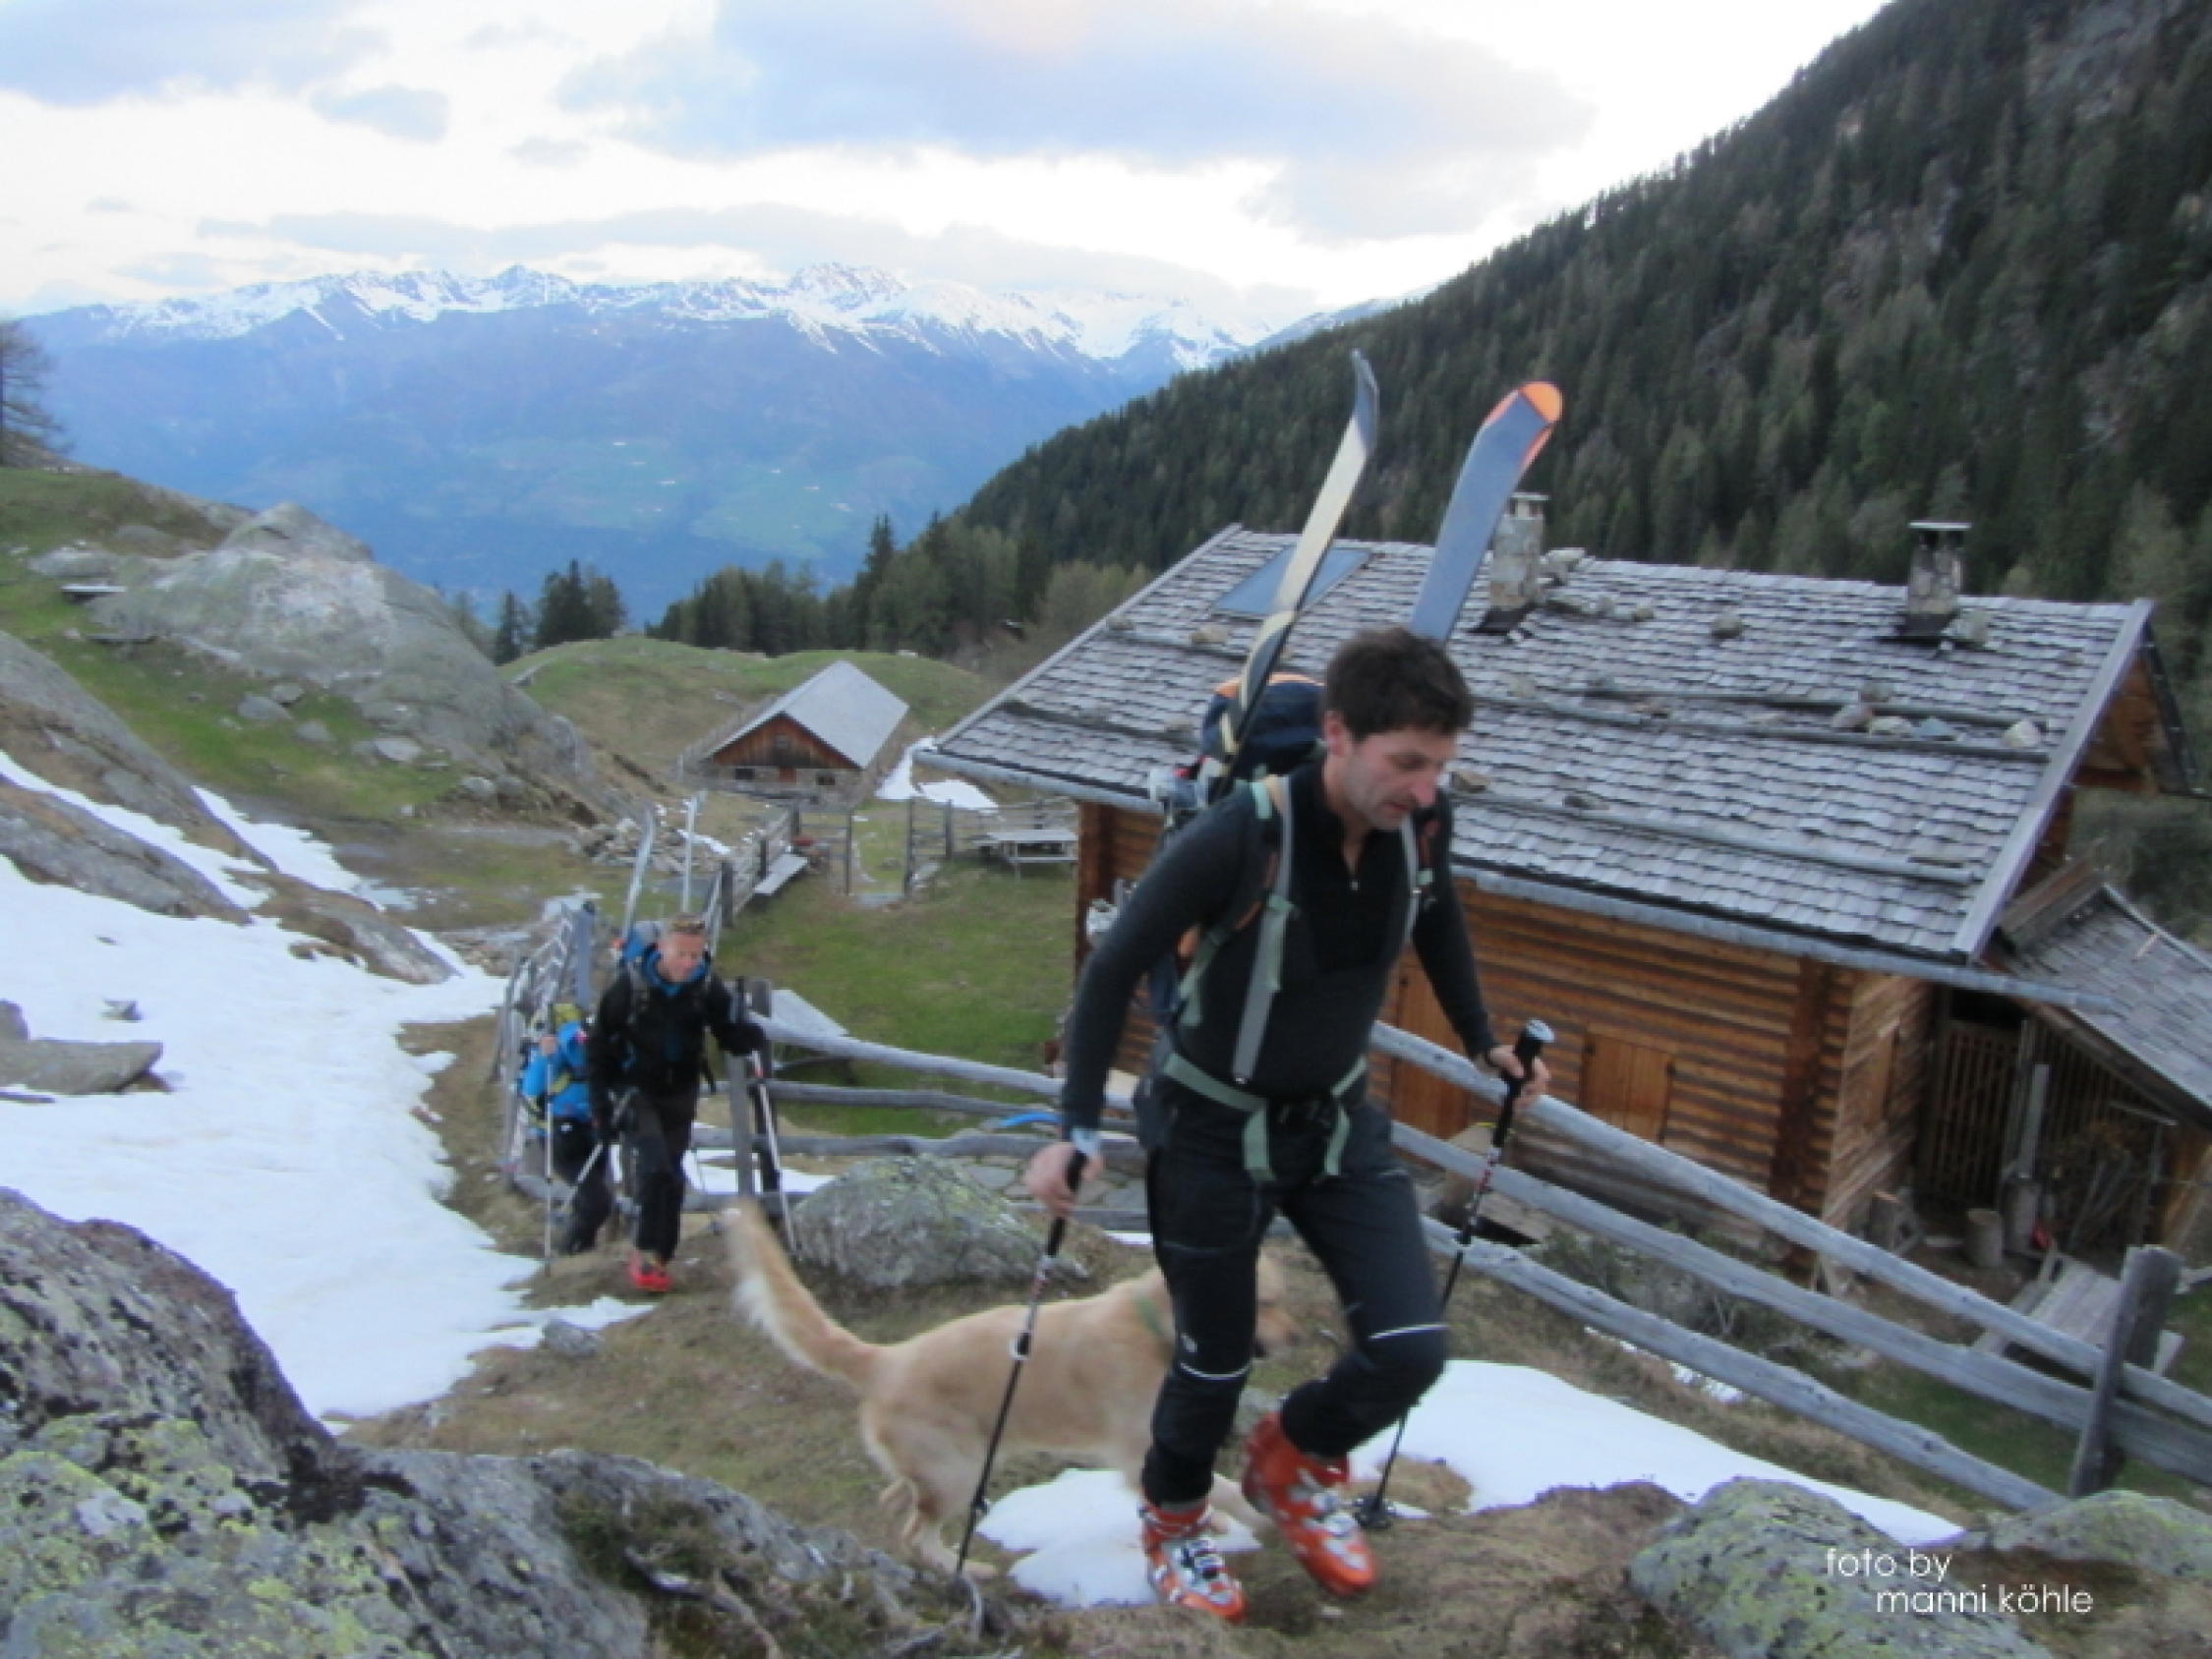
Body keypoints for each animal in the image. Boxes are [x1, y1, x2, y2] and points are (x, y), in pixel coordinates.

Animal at [723, 1201, 1296, 1573]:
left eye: (1279, 1300)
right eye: (1263, 1304)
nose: (1295, 1337)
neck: (1157, 1329)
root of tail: (887, 1358)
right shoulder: (1141, 1451)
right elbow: (1218, 1487)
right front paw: (1254, 1517)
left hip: (957, 1462)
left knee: (900, 1501)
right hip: (959, 1471)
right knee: (917, 1532)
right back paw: (964, 1570)